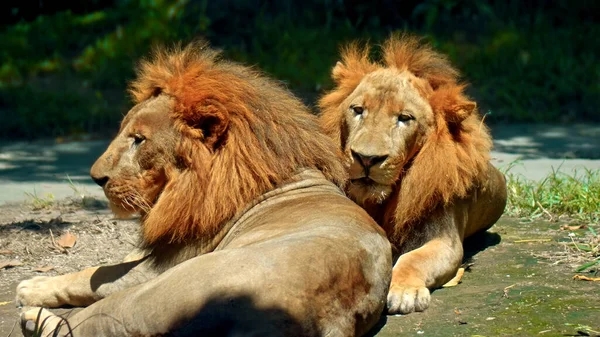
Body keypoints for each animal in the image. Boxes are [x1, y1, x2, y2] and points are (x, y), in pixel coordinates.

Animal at [16, 40, 392, 334]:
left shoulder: (160, 265)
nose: (96, 177)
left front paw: (33, 285)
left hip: (156, 291)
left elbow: (94, 273)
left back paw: (34, 318)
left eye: (139, 140)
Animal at [318, 32, 506, 314]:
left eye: (404, 118)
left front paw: (405, 292)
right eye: (358, 110)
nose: (366, 158)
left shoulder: (444, 240)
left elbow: (413, 259)